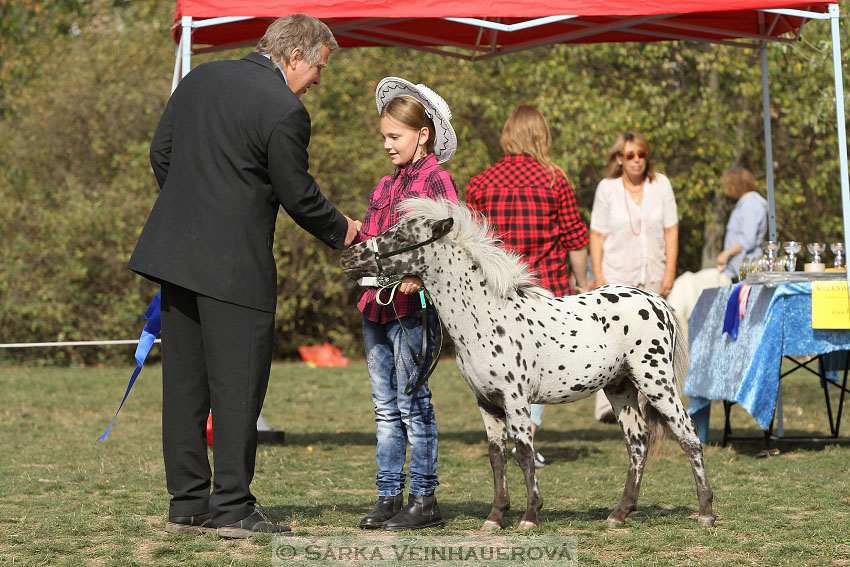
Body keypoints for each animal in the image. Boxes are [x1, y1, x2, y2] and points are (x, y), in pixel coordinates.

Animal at [342, 197, 712, 532]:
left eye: (401, 237)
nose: (348, 256)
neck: (486, 316)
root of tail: (657, 302)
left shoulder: (515, 399)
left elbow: (523, 452)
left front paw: (530, 516)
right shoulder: (487, 402)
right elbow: (497, 456)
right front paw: (495, 518)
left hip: (656, 381)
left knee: (688, 434)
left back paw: (706, 513)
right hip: (620, 388)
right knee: (637, 444)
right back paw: (619, 514)